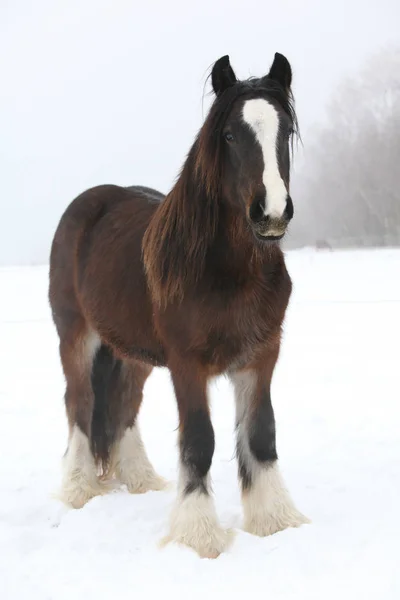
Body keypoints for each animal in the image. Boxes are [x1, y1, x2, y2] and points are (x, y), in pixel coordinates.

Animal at [49, 51, 310, 556]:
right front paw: (200, 534)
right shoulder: (189, 365)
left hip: (132, 353)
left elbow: (261, 435)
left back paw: (141, 479)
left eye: (285, 130)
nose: (270, 213)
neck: (228, 273)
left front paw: (275, 521)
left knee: (124, 403)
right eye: (229, 135)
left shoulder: (262, 357)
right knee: (80, 402)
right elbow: (200, 441)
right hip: (75, 336)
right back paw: (76, 489)